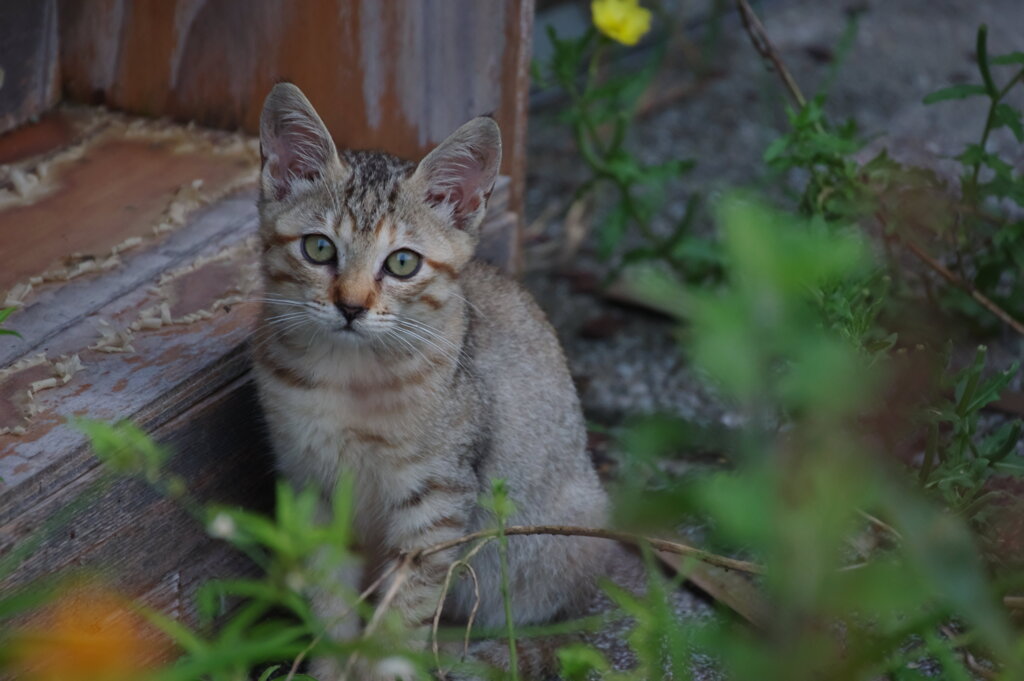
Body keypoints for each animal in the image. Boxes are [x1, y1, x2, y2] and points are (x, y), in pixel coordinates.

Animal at [253, 82, 606, 675]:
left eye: (402, 263)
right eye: (319, 248)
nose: (350, 306)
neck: (347, 379)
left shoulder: (437, 500)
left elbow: (407, 604)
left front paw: (385, 667)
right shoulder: (313, 486)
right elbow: (330, 600)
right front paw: (332, 666)